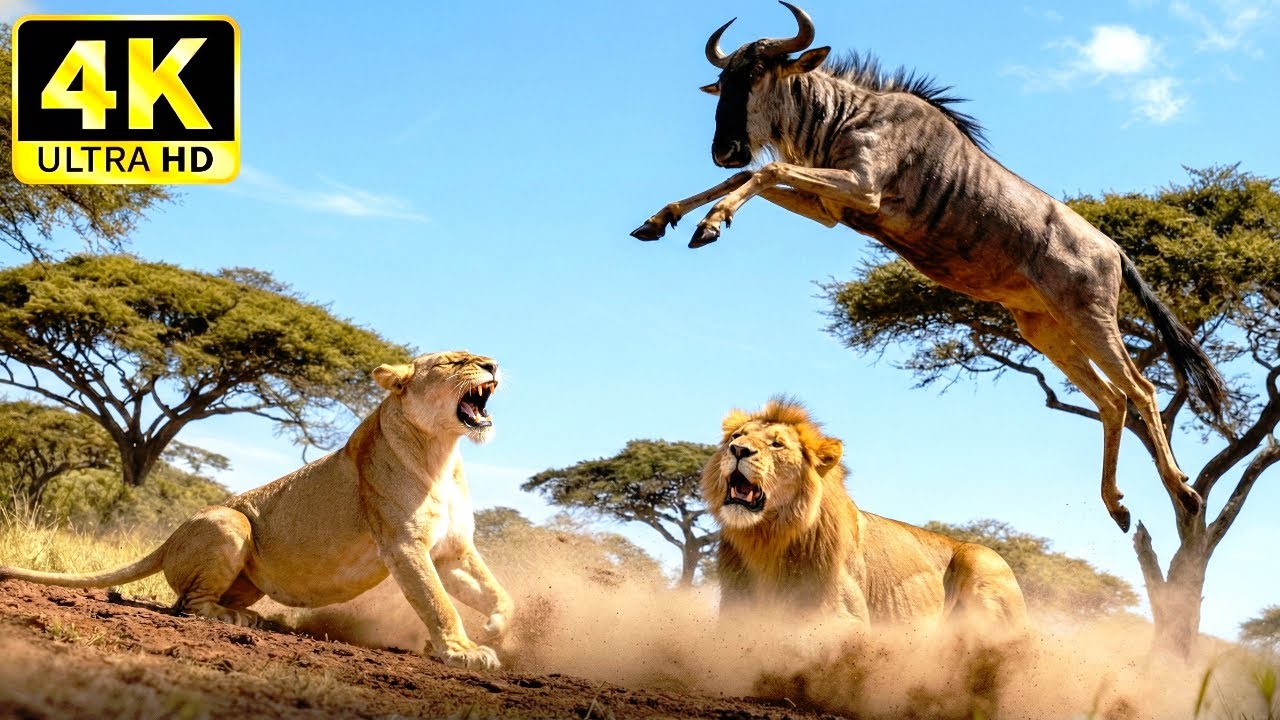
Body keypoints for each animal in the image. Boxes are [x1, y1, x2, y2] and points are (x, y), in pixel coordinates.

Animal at [0, 351, 514, 670]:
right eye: (454, 361)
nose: (492, 364)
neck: (442, 454)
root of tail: (167, 540)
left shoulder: (452, 550)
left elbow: (496, 594)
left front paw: (496, 629)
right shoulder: (404, 545)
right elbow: (438, 603)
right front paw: (464, 651)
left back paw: (264, 619)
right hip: (231, 521)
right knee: (187, 606)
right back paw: (241, 622)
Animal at [705, 398, 1027, 631]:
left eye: (777, 444)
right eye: (737, 436)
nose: (738, 449)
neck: (767, 540)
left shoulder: (847, 618)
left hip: (983, 561)